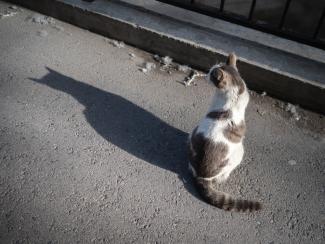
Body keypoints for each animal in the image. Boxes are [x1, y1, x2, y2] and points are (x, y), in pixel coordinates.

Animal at [187, 53, 260, 212]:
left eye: (211, 74)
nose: (206, 74)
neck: (236, 88)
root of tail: (201, 176)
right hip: (239, 153)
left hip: (193, 132)